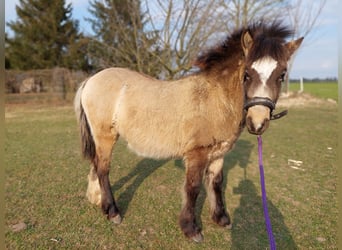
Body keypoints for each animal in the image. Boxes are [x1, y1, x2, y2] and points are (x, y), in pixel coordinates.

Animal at [74, 21, 302, 242]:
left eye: (282, 75)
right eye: (247, 74)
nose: (257, 123)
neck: (215, 98)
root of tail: (90, 80)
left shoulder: (218, 153)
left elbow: (216, 183)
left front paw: (221, 218)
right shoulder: (197, 154)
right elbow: (192, 188)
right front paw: (191, 228)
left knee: (96, 165)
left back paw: (96, 199)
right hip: (106, 137)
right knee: (103, 169)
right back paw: (112, 211)